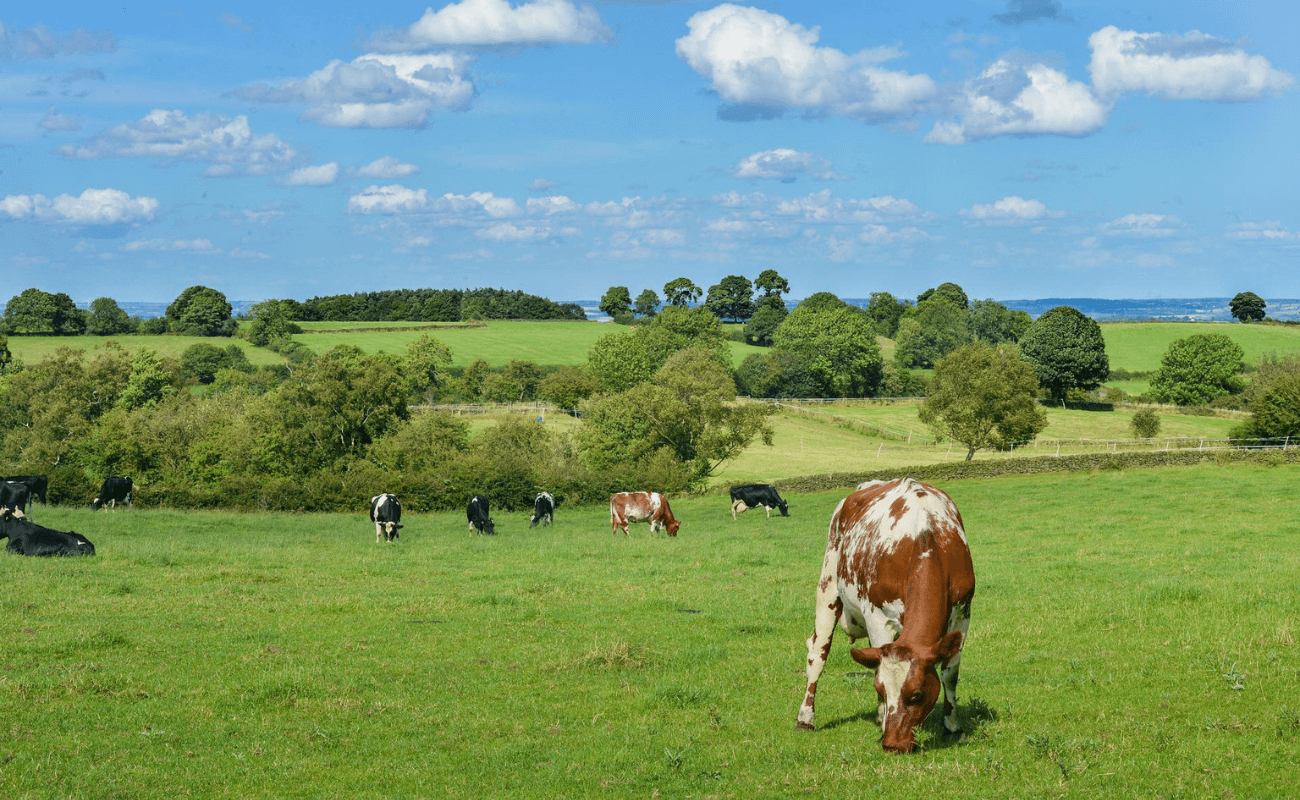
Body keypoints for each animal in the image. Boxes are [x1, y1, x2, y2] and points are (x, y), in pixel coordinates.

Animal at [790, 478, 977, 754]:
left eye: (917, 695)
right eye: (881, 688)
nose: (892, 745)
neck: (925, 536)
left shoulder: (963, 614)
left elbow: (950, 674)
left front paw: (953, 727)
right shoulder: (877, 618)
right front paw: (883, 720)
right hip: (828, 586)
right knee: (818, 653)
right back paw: (806, 718)